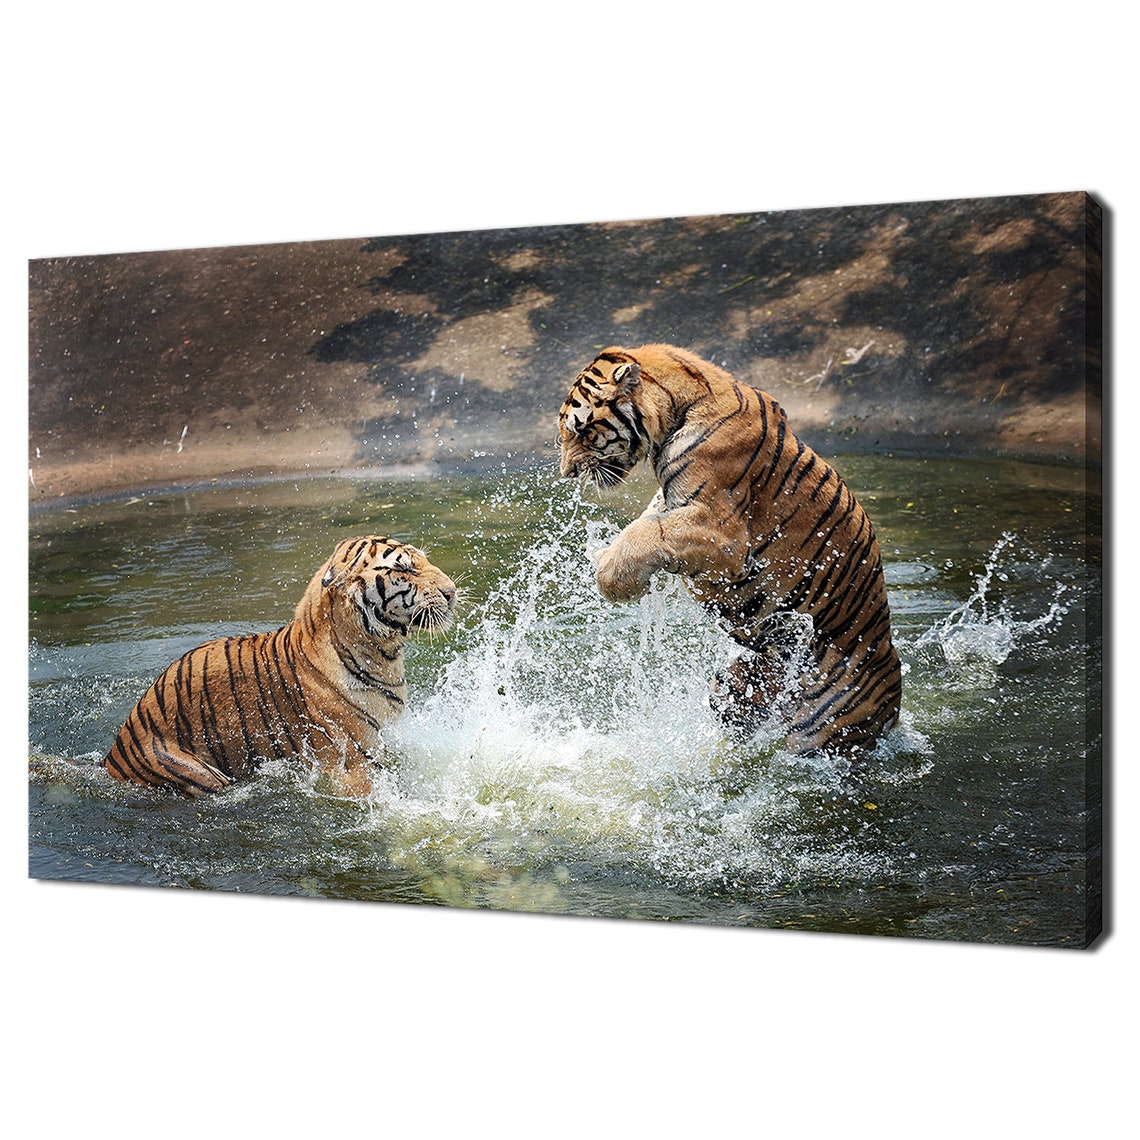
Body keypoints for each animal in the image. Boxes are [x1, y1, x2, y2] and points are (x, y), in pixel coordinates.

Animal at [103, 536, 458, 797]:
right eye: (405, 571)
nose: (452, 592)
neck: (383, 656)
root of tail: (112, 756)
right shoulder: (353, 766)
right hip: (194, 771)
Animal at [558, 343, 901, 758]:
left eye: (582, 430)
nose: (567, 473)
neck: (676, 411)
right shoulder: (675, 502)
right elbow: (646, 520)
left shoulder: (722, 532)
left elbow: (649, 531)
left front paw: (613, 579)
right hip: (735, 686)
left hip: (823, 733)